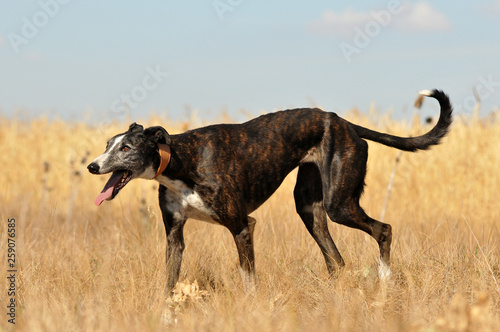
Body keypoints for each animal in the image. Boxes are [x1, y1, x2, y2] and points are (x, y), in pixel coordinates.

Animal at [87, 88, 454, 294]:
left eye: (126, 148)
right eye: (107, 145)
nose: (92, 166)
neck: (181, 160)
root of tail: (344, 122)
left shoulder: (242, 226)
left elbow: (249, 280)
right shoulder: (175, 236)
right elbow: (169, 283)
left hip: (339, 204)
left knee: (384, 230)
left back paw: (385, 282)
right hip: (309, 209)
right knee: (336, 261)